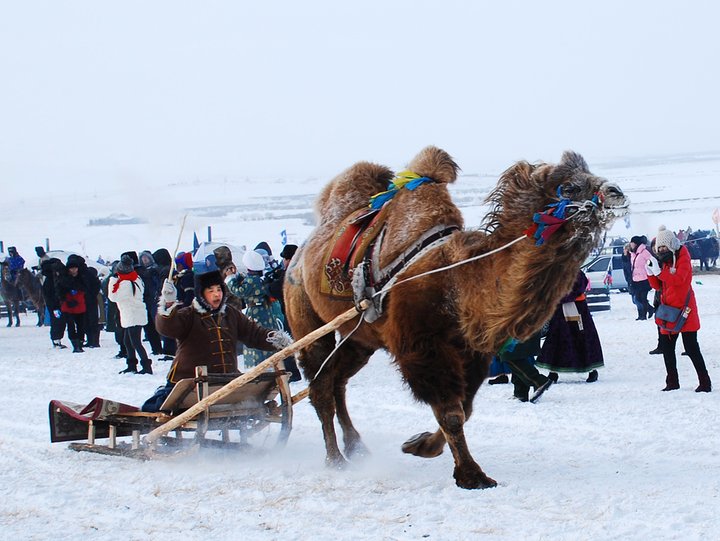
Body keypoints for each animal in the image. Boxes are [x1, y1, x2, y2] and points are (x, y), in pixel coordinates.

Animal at [284, 146, 628, 488]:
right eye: (568, 187)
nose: (617, 193)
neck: (457, 281)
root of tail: (297, 259)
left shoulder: (471, 349)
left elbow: (466, 407)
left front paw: (419, 445)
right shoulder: (424, 349)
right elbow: (451, 411)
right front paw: (473, 475)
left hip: (360, 339)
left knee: (338, 381)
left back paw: (356, 447)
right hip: (306, 319)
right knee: (320, 386)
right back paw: (336, 460)